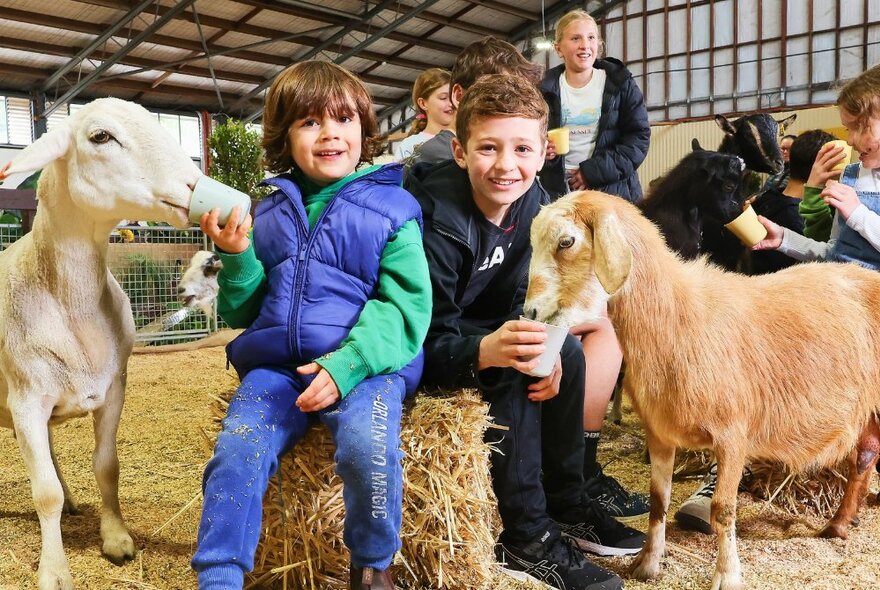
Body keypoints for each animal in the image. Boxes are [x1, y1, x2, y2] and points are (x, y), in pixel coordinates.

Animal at [0, 98, 200, 590]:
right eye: (101, 137)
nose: (193, 185)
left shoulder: (113, 390)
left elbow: (107, 468)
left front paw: (117, 540)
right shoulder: (26, 400)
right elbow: (44, 493)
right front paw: (54, 571)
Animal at [524, 192, 880, 588]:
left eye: (566, 242)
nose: (531, 311)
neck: (677, 315)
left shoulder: (734, 435)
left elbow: (723, 510)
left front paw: (727, 574)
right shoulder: (660, 433)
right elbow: (658, 500)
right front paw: (648, 563)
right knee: (866, 453)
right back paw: (840, 523)